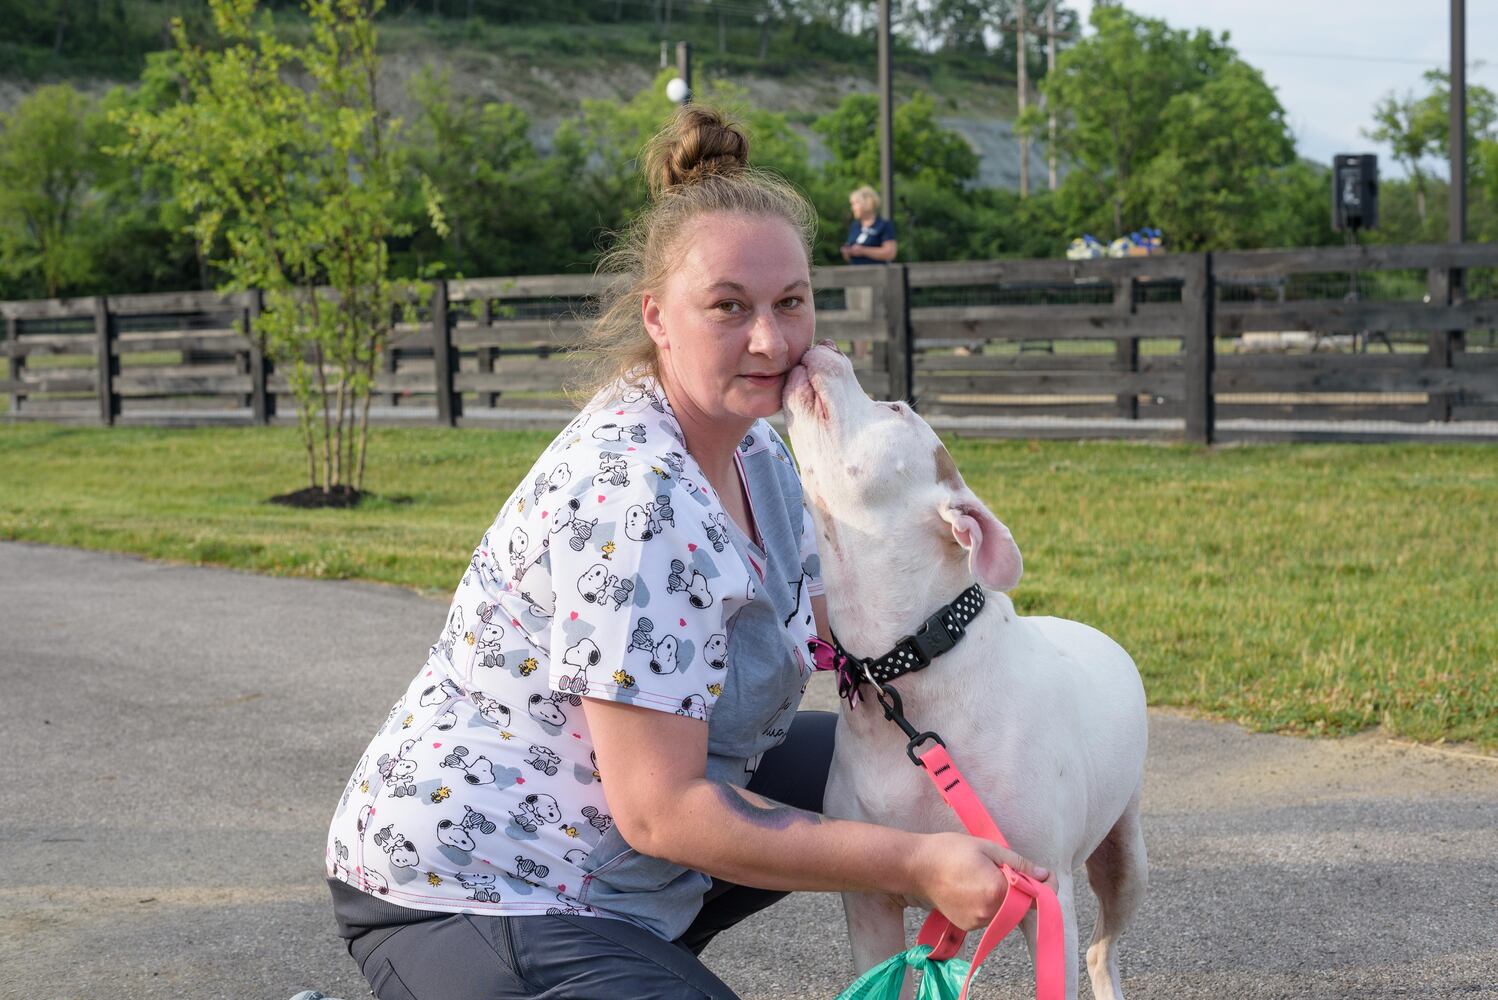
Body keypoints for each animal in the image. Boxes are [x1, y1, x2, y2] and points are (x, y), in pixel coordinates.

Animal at [784, 345, 1144, 999]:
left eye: (895, 409)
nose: (828, 347)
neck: (908, 667)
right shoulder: (870, 903)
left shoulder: (1042, 897)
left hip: (1127, 857)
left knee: (1102, 947)